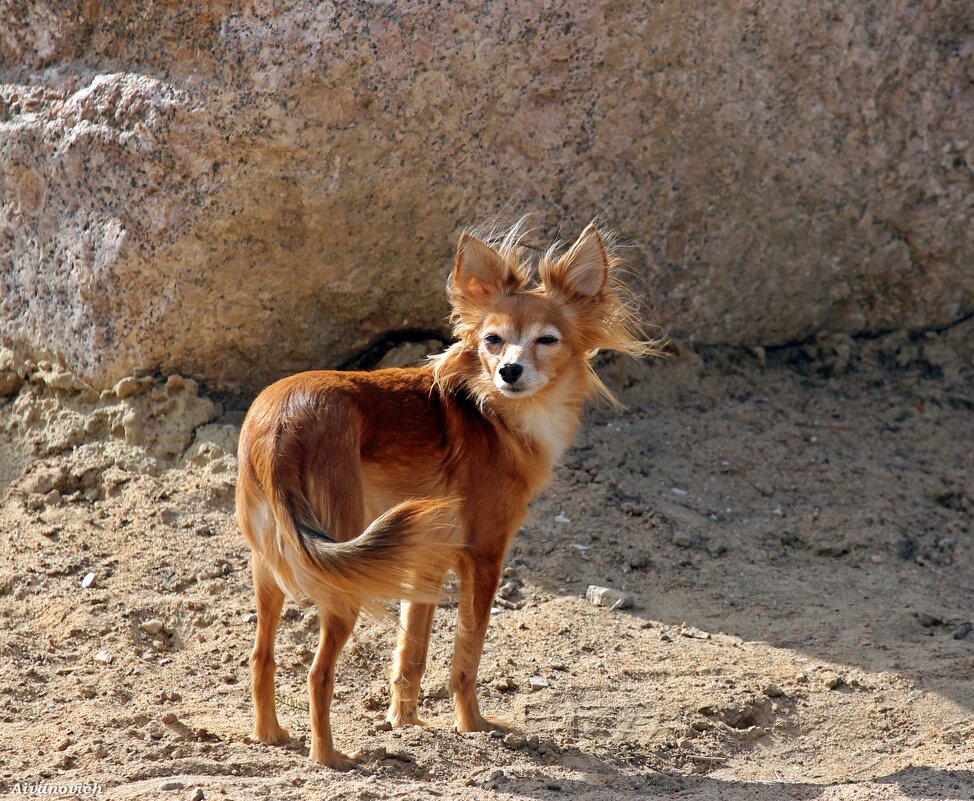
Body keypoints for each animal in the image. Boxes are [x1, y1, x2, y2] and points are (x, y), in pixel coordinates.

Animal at [236, 222, 660, 764]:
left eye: (546, 340)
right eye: (493, 341)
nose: (509, 371)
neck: (495, 412)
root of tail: (279, 425)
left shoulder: (425, 560)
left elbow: (411, 654)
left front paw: (404, 723)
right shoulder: (485, 555)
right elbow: (467, 653)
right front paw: (472, 725)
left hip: (271, 565)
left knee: (261, 654)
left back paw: (269, 734)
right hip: (343, 575)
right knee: (317, 672)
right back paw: (329, 758)